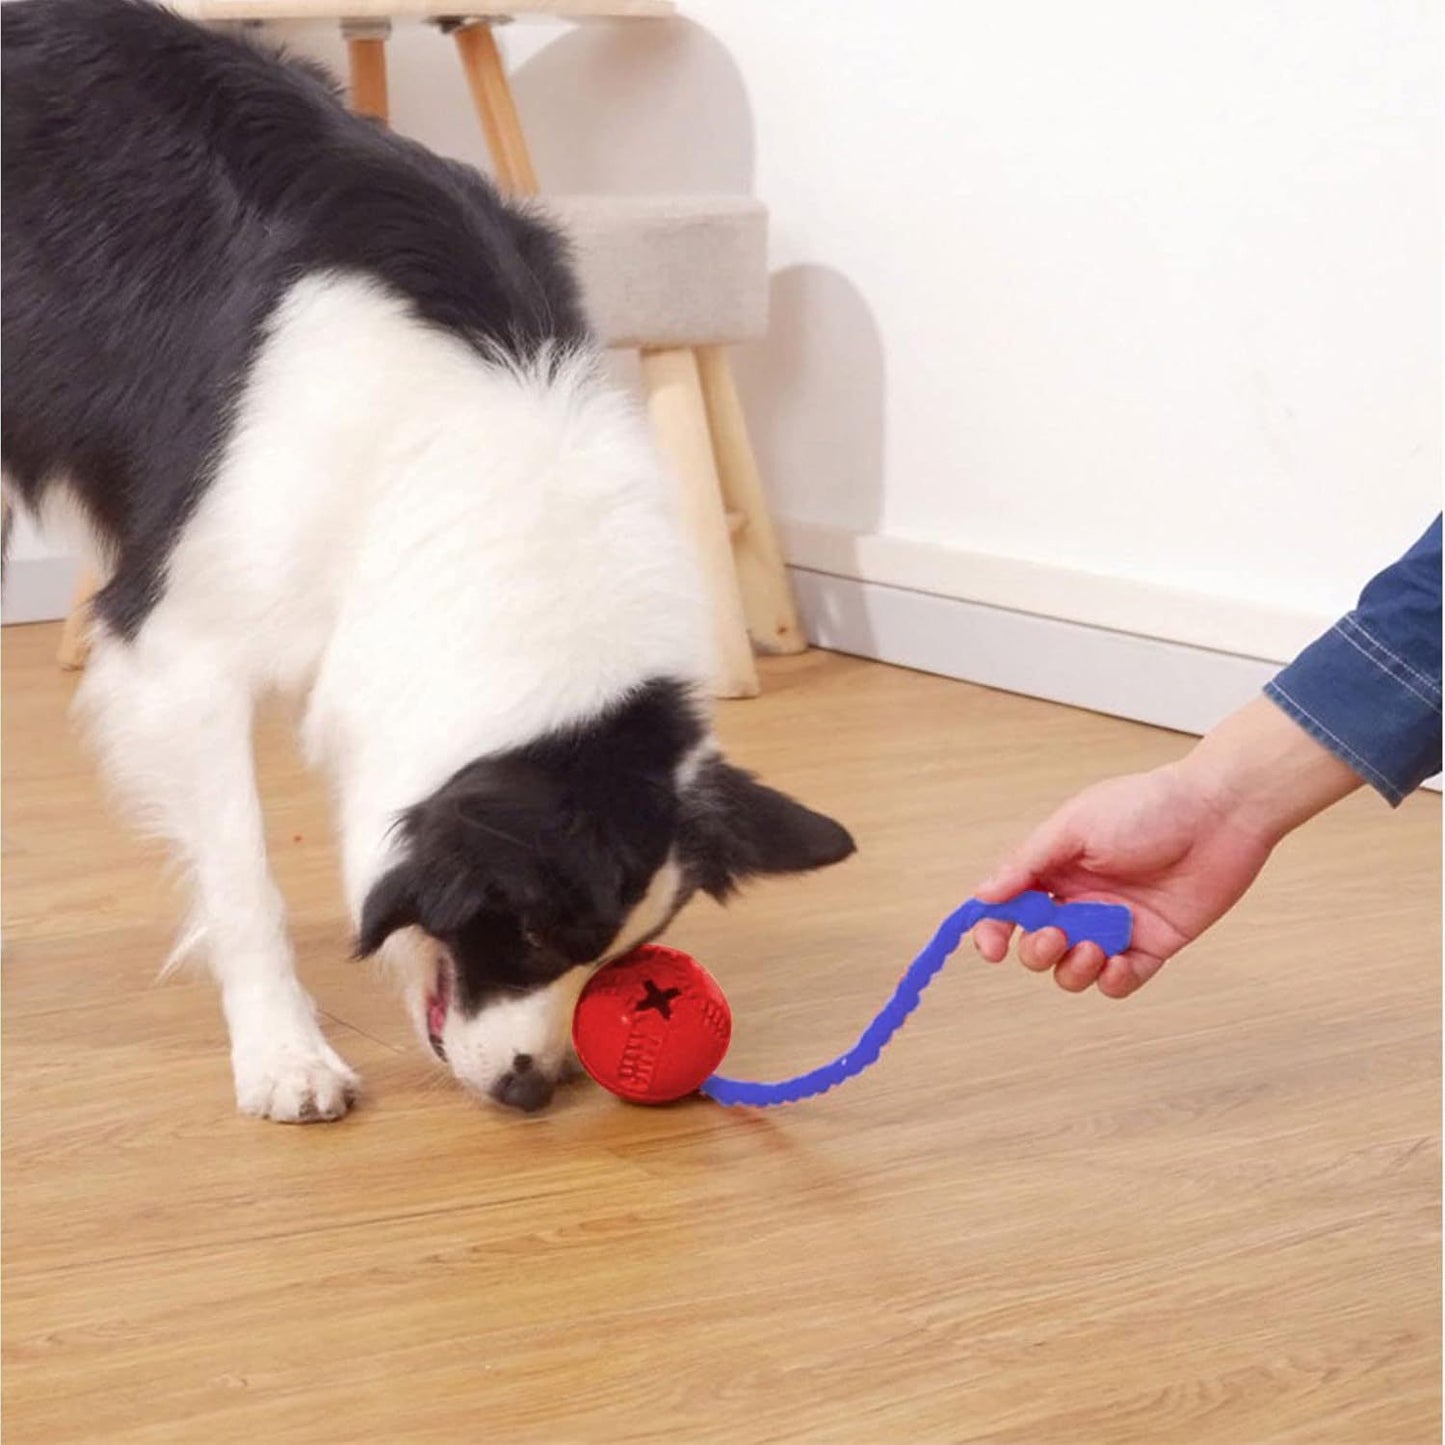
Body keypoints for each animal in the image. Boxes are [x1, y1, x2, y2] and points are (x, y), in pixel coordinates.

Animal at [2, 0, 855, 1115]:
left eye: (627, 952)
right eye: (531, 927)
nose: (532, 1090)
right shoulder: (182, 646)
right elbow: (244, 876)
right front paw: (284, 1053)